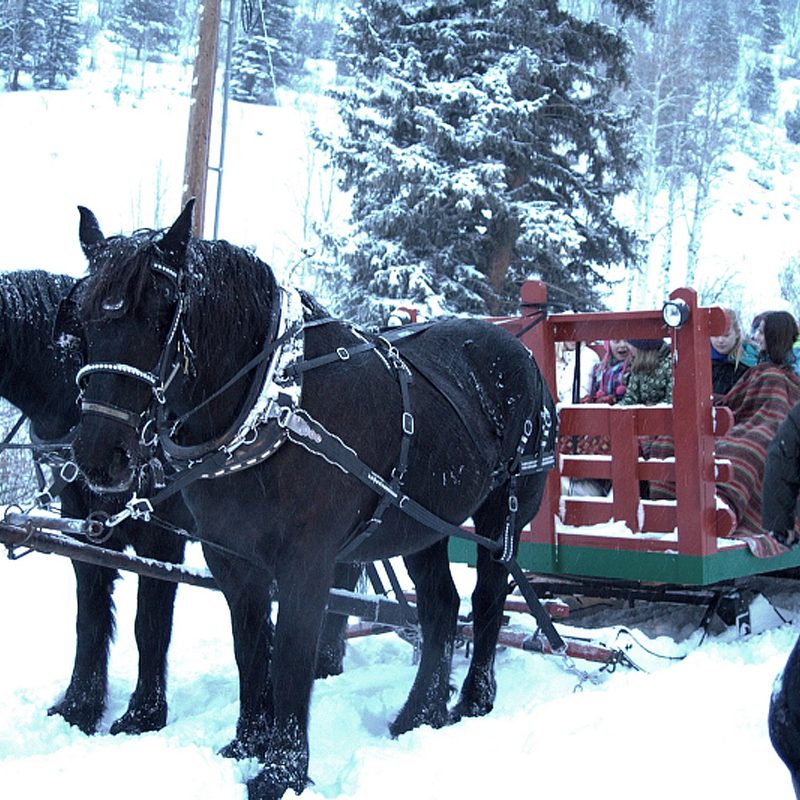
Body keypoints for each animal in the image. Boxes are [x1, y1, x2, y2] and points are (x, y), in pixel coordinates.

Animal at [0, 269, 195, 735]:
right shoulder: (85, 531)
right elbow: (89, 620)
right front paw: (80, 706)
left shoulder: (162, 540)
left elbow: (150, 625)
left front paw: (144, 714)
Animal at [70, 202, 556, 800]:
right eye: (84, 317)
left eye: (161, 312)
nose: (99, 455)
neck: (271, 402)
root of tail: (522, 353)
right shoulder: (233, 560)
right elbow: (251, 647)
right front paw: (246, 746)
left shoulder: (308, 562)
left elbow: (292, 657)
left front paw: (282, 772)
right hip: (421, 522)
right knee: (441, 607)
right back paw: (419, 714)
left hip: (501, 515)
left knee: (487, 601)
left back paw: (472, 700)